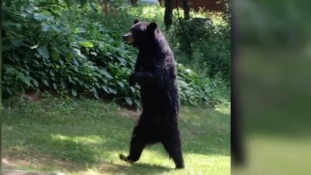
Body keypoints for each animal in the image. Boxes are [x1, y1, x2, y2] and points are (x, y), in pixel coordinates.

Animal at [120, 18, 185, 169]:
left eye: (135, 31)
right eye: (130, 28)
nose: (124, 36)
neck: (148, 48)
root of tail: (157, 136)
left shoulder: (162, 57)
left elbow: (157, 75)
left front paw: (133, 77)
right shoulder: (141, 57)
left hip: (170, 128)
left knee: (176, 146)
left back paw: (180, 165)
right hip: (142, 125)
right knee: (136, 139)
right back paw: (127, 157)